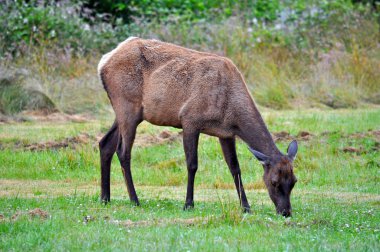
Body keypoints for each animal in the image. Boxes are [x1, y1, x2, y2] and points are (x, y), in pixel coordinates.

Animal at [96, 37, 298, 217]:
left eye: (294, 181)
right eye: (274, 182)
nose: (286, 212)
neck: (231, 111)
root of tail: (103, 62)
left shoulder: (226, 133)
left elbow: (235, 168)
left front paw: (246, 207)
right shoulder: (189, 120)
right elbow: (192, 164)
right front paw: (188, 204)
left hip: (124, 111)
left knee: (105, 143)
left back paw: (105, 198)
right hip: (127, 105)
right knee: (123, 152)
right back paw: (134, 200)